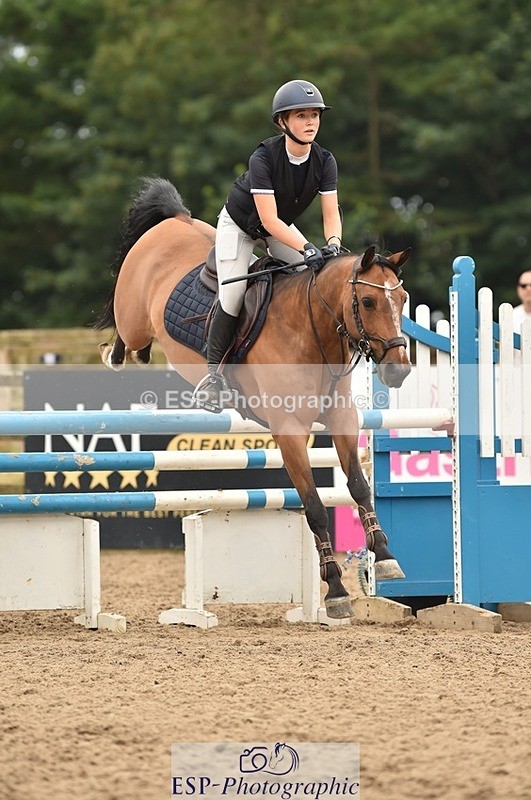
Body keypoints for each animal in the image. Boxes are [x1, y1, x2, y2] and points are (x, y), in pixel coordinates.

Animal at [95, 177, 412, 619]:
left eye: (402, 300)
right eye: (367, 301)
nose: (399, 370)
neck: (309, 329)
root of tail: (174, 220)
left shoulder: (343, 420)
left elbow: (359, 487)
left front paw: (385, 558)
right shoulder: (289, 431)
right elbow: (314, 506)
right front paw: (335, 591)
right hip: (134, 317)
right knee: (125, 333)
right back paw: (116, 353)